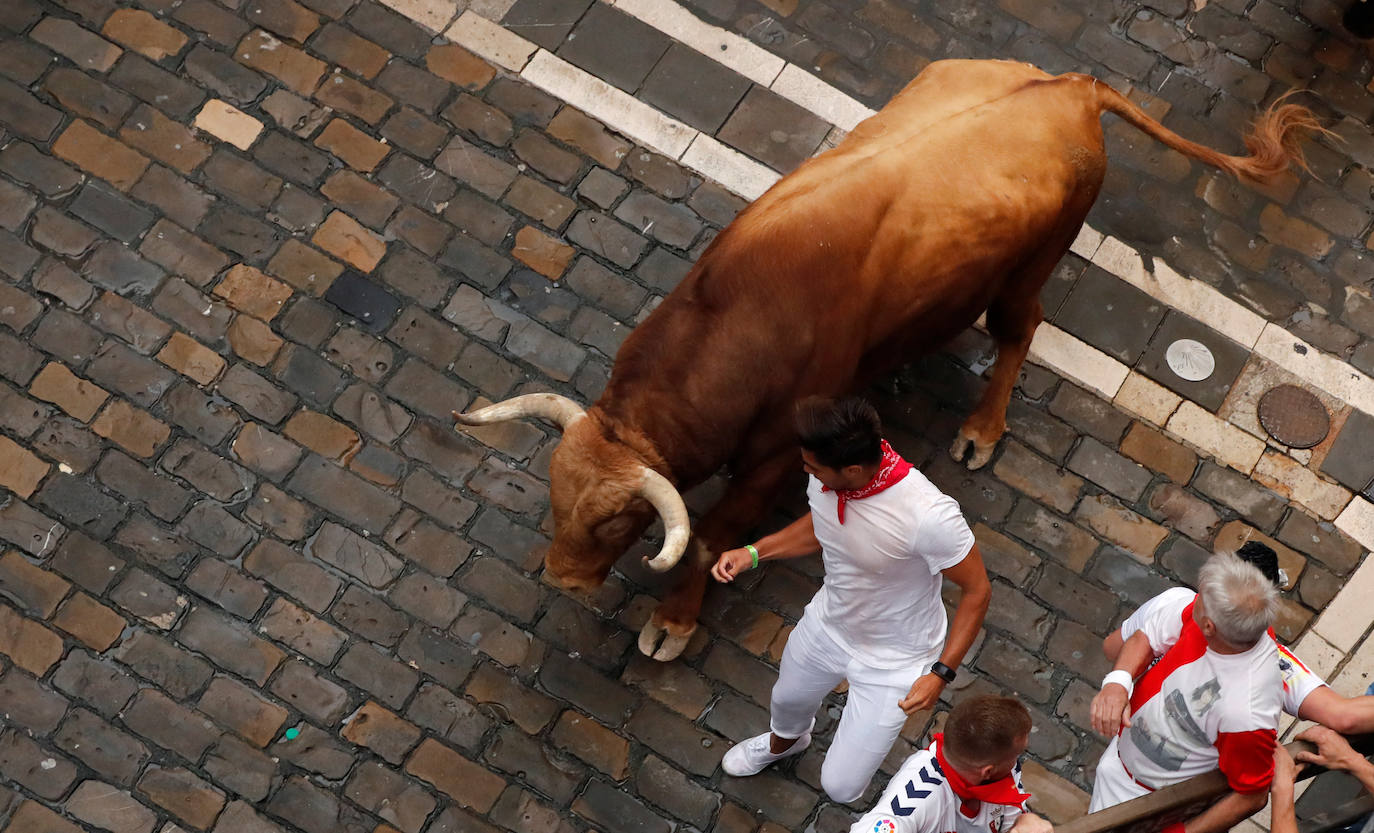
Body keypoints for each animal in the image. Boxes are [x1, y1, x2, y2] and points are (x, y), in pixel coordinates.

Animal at [453, 58, 1319, 662]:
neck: (736, 318)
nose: (562, 578)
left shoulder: (774, 454)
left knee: (1020, 328)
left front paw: (673, 619)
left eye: (621, 520)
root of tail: (1072, 86)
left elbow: (714, 532)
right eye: (555, 495)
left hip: (1029, 267)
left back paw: (981, 429)